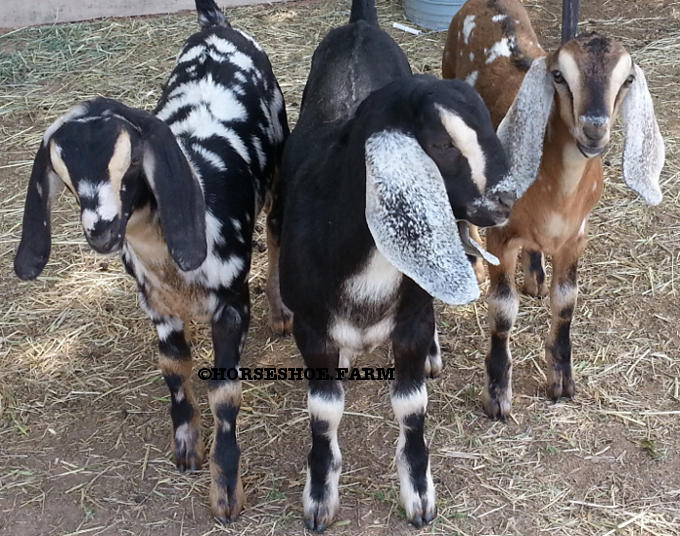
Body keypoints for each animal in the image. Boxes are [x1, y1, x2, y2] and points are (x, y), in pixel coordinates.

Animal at [13, 0, 290, 520]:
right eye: (66, 180)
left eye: (132, 171)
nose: (101, 231)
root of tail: (216, 25)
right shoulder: (156, 305)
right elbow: (174, 369)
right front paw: (186, 448)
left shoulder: (231, 304)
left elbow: (225, 392)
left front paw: (226, 492)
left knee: (278, 228)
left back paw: (282, 310)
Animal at [276, 0, 516, 528]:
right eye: (442, 144)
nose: (506, 199)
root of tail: (361, 25)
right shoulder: (311, 328)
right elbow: (324, 410)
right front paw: (319, 498)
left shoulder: (410, 321)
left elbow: (411, 406)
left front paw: (419, 496)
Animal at [440, 0, 664, 418]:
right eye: (559, 76)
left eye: (627, 80)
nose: (594, 128)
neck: (558, 194)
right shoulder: (502, 235)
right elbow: (503, 310)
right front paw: (497, 396)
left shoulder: (576, 237)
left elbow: (565, 304)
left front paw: (561, 382)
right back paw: (474, 262)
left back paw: (535, 276)